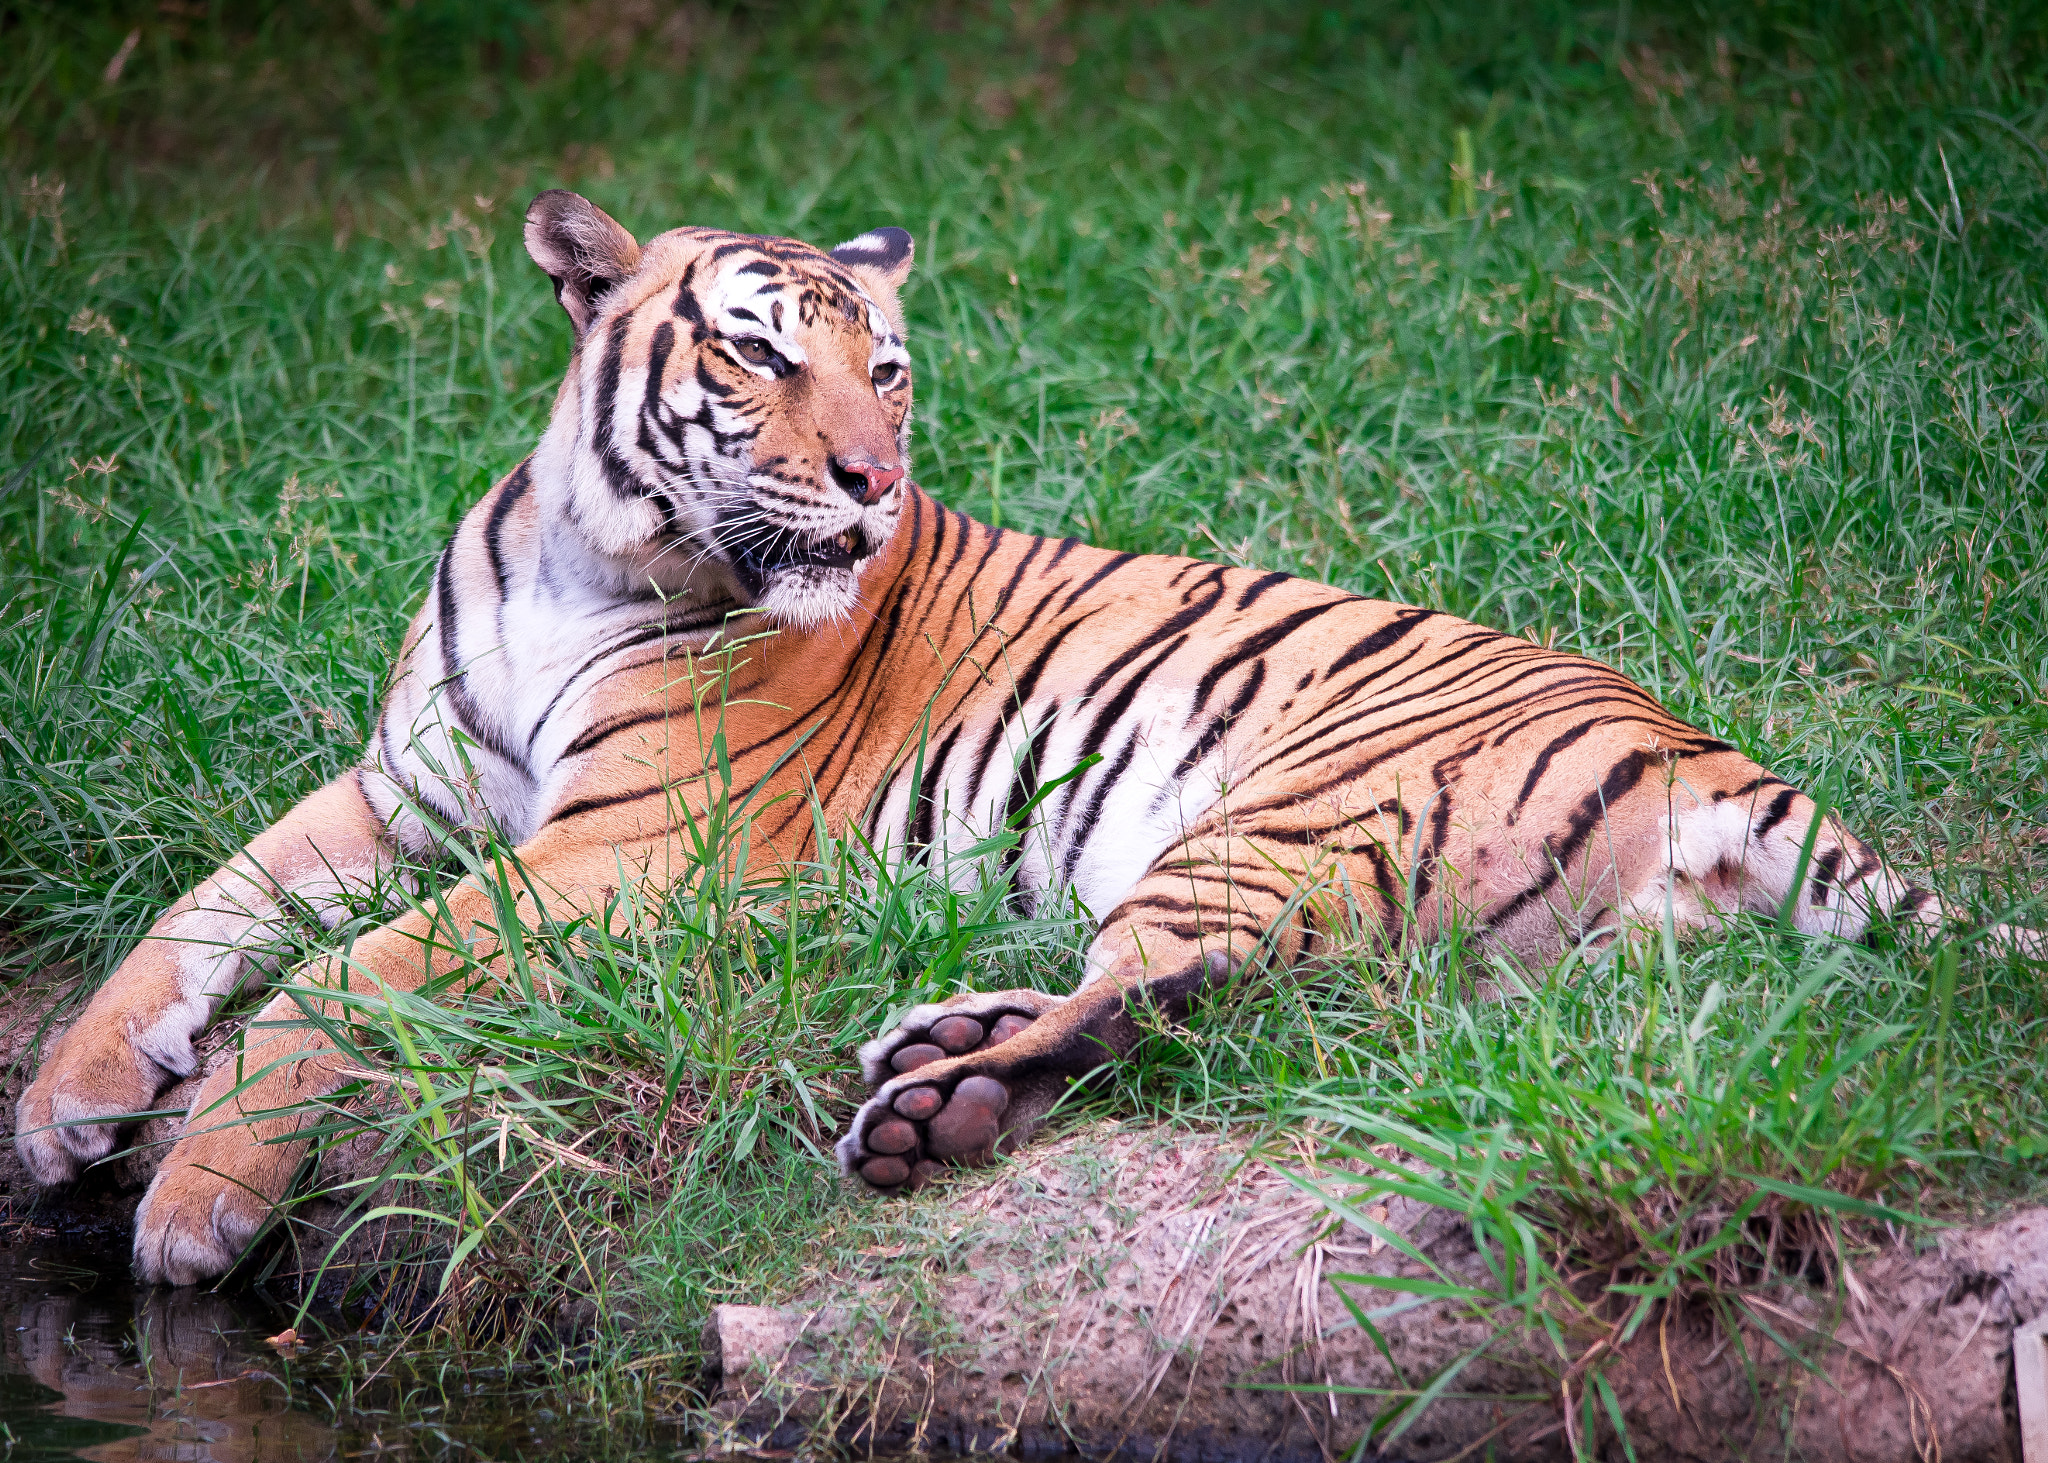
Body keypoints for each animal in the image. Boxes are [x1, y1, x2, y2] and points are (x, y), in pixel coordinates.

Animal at [14, 189, 1996, 1287]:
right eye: (754, 357)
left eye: (883, 370)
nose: (868, 486)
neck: (591, 547)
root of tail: (1704, 747)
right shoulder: (403, 788)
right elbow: (203, 910)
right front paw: (69, 1101)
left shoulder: (621, 845)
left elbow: (342, 976)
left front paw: (194, 1200)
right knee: (1238, 1000)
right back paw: (942, 1062)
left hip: (1269, 814)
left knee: (1176, 988)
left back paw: (929, 1108)